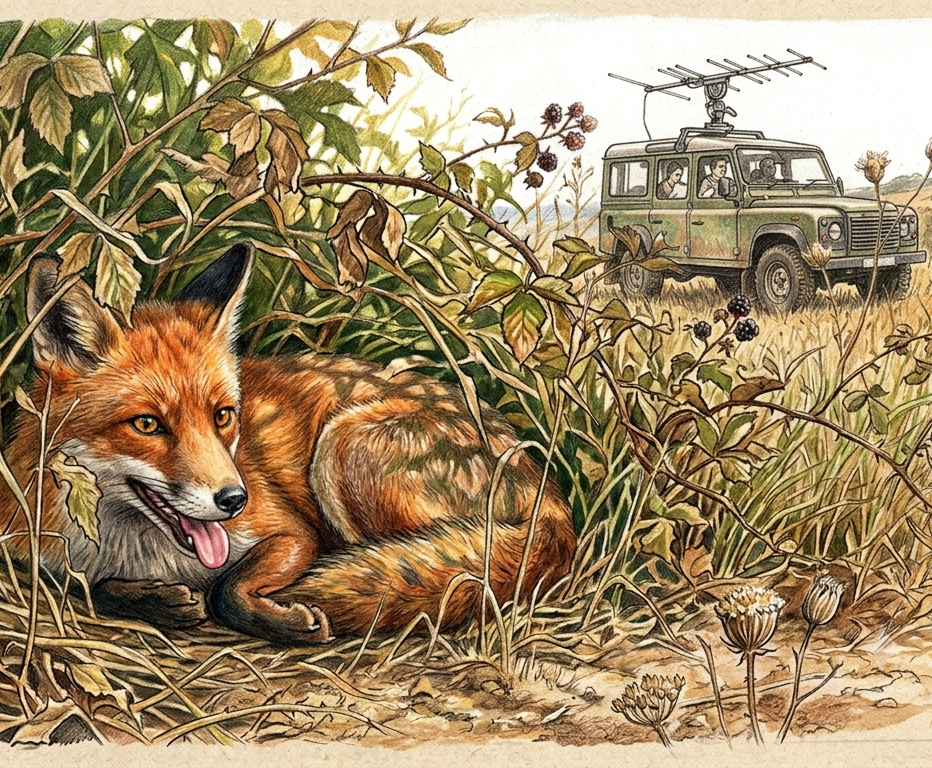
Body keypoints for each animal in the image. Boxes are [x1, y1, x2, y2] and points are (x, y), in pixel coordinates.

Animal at [0, 244, 576, 643]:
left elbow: (226, 590)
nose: (235, 500)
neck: (139, 550)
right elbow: (91, 587)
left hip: (343, 450)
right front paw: (151, 601)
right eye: (147, 425)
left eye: (223, 416)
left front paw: (277, 616)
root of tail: (550, 498)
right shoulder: (42, 558)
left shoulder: (293, 534)